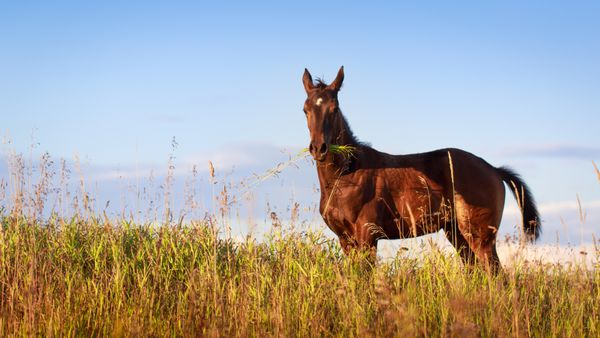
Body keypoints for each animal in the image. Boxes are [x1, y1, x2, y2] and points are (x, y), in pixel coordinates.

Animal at [302, 66, 540, 272]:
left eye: (334, 109)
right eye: (305, 109)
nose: (318, 148)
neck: (347, 176)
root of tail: (493, 169)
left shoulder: (367, 235)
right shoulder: (345, 238)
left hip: (481, 237)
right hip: (457, 234)